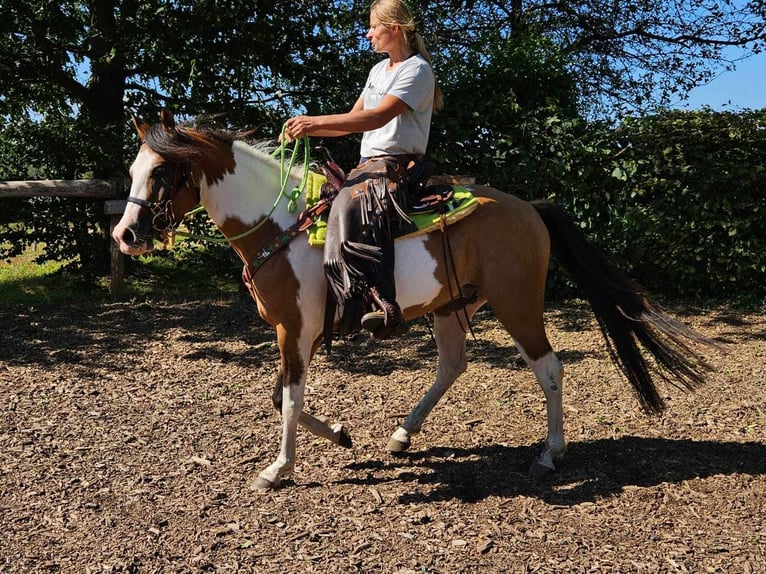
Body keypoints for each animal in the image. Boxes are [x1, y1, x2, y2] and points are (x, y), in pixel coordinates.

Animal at [114, 110, 720, 492]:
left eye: (162, 171)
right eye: (133, 170)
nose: (125, 235)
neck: (279, 224)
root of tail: (531, 208)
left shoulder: (295, 330)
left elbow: (286, 399)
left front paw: (277, 469)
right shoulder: (291, 332)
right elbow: (280, 396)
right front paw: (341, 435)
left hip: (518, 305)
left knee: (549, 368)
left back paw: (551, 454)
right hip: (453, 306)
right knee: (453, 364)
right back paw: (403, 435)